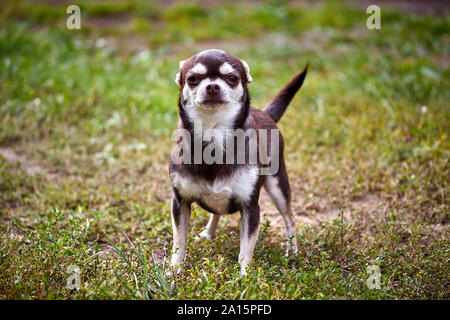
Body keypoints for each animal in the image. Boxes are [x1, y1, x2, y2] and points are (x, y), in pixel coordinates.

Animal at [168, 48, 306, 276]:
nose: (212, 86)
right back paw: (209, 233)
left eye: (232, 78)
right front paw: (173, 270)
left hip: (277, 185)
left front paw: (244, 276)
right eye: (193, 79)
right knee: (217, 212)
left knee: (290, 218)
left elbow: (246, 248)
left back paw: (292, 251)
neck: (213, 133)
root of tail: (265, 112)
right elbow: (179, 242)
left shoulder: (251, 208)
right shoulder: (181, 202)